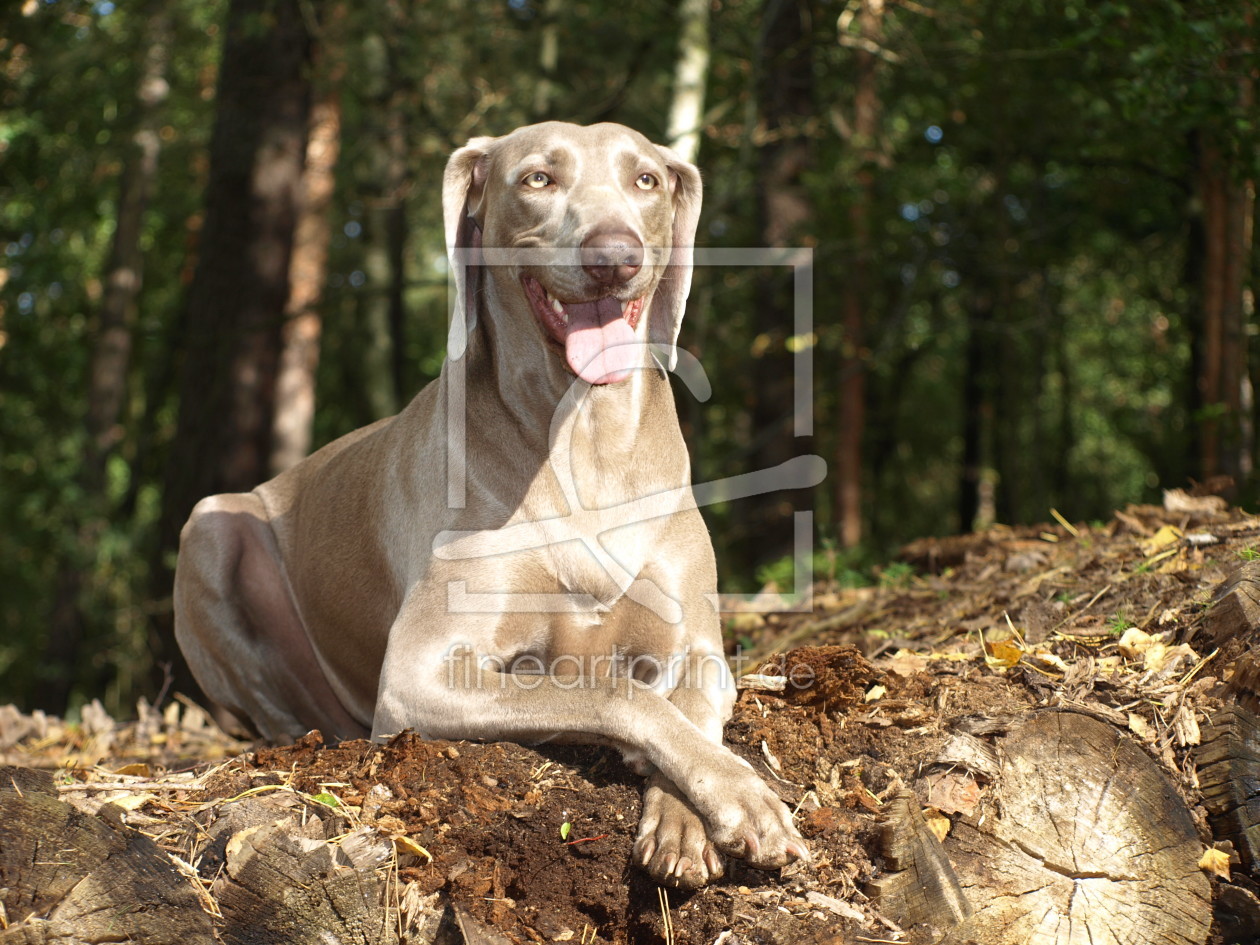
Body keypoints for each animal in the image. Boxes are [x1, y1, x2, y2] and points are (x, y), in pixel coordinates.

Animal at [175, 120, 806, 887]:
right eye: (537, 178)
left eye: (646, 180)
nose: (614, 255)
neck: (584, 440)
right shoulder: (418, 674)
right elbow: (609, 689)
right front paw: (741, 794)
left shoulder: (699, 643)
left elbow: (686, 699)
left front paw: (693, 817)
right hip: (211, 525)